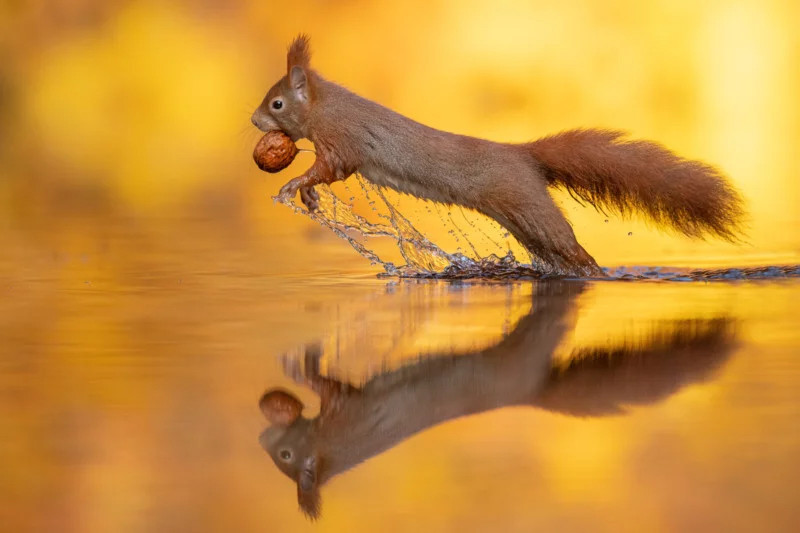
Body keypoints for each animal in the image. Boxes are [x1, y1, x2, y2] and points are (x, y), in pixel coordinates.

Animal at [252, 37, 744, 276]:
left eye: (276, 103)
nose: (255, 121)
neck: (325, 106)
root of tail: (522, 155)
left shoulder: (344, 140)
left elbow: (331, 168)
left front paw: (296, 185)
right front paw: (309, 198)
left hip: (529, 205)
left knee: (573, 249)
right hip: (525, 222)